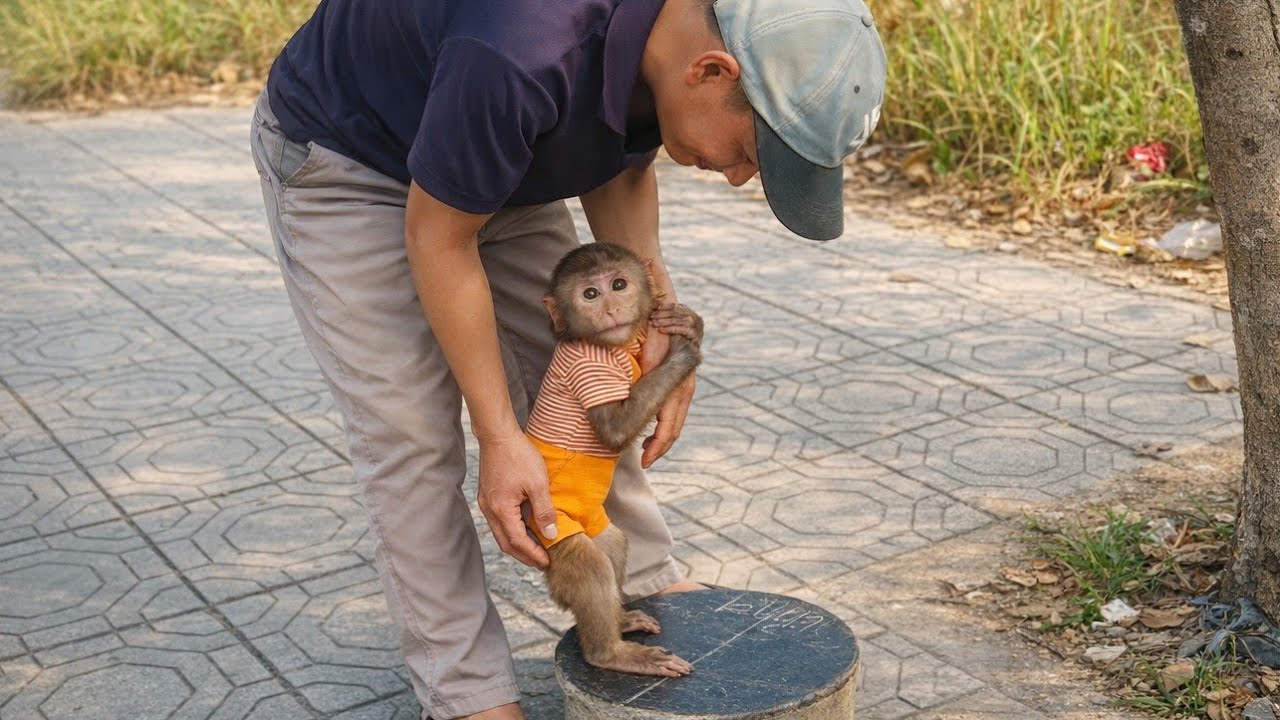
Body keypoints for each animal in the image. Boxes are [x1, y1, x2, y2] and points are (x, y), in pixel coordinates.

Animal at [523, 242, 703, 677]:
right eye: (590, 294)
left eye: (618, 284)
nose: (610, 308)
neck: (614, 347)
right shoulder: (591, 367)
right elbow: (616, 429)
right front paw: (683, 352)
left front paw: (687, 324)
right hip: (548, 527)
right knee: (588, 567)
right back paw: (611, 654)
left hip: (592, 523)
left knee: (613, 543)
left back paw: (619, 620)